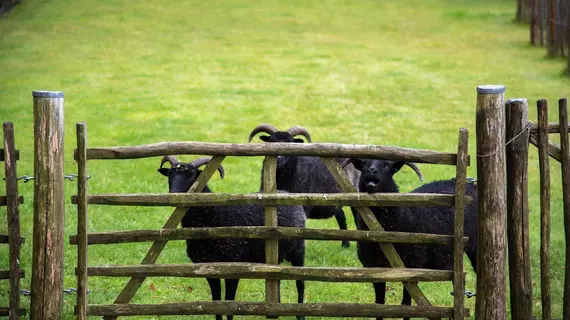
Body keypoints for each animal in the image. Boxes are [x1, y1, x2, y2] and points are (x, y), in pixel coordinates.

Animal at [155, 156, 306, 320]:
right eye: (169, 174)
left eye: (192, 175)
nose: (173, 194)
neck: (212, 218)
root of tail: (285, 193)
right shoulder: (207, 268)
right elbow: (216, 302)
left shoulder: (234, 267)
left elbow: (229, 302)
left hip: (298, 251)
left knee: (300, 283)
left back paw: (300, 315)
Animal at [342, 158, 474, 320]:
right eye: (364, 164)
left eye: (387, 166)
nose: (371, 170)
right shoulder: (374, 268)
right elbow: (379, 305)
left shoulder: (411, 267)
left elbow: (406, 305)